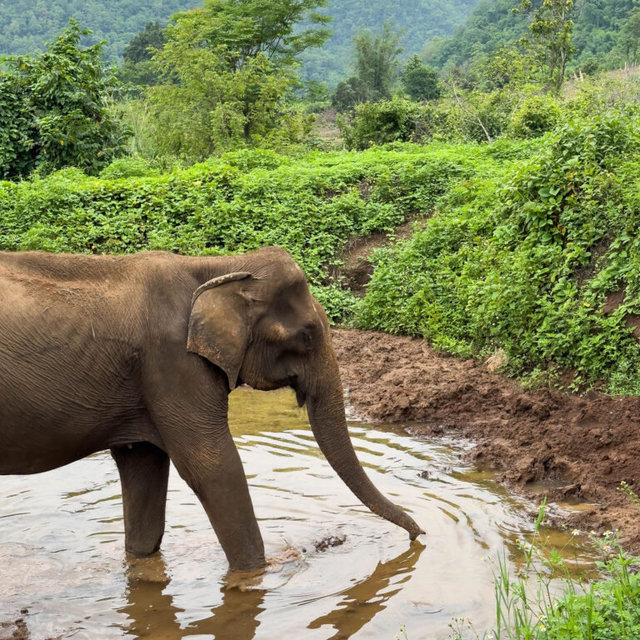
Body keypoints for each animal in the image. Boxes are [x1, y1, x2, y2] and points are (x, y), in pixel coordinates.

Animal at [0, 247, 423, 571]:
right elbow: (214, 466)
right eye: (307, 336)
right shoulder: (173, 362)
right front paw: (258, 575)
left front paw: (140, 566)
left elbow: (143, 466)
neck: (218, 268)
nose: (419, 534)